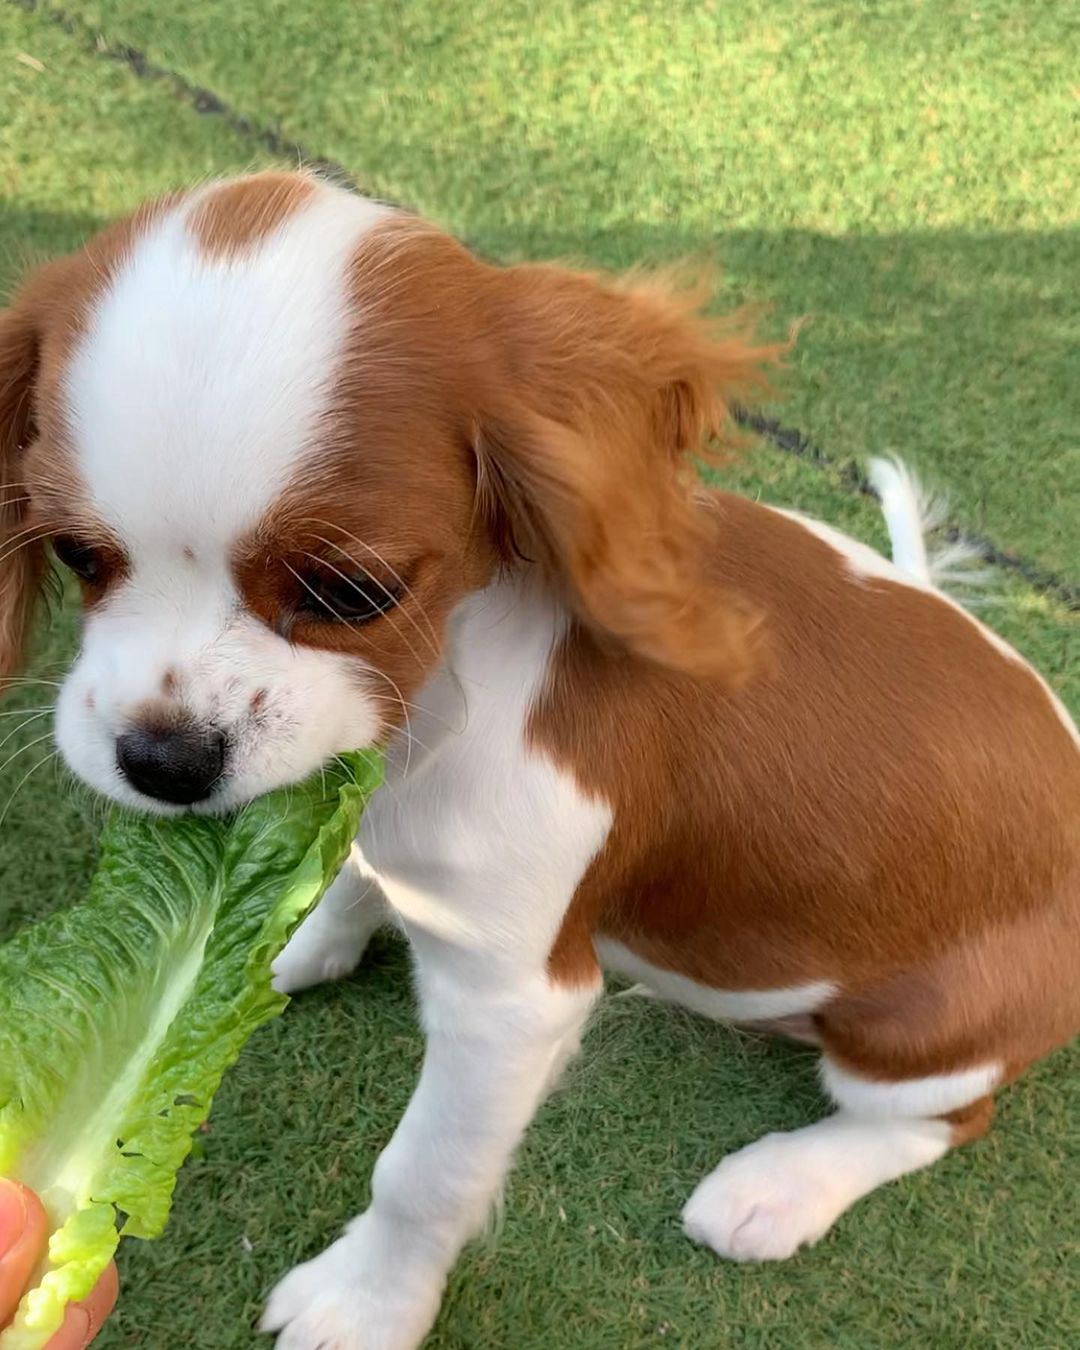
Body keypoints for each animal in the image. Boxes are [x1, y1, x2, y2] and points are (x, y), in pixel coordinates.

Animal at [0, 171, 1074, 1350]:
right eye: (75, 553)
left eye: (350, 592)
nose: (164, 760)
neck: (432, 707)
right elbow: (351, 870)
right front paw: (300, 937)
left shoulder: (512, 1004)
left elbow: (421, 1176)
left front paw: (365, 1302)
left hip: (922, 1025)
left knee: (939, 1117)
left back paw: (779, 1184)